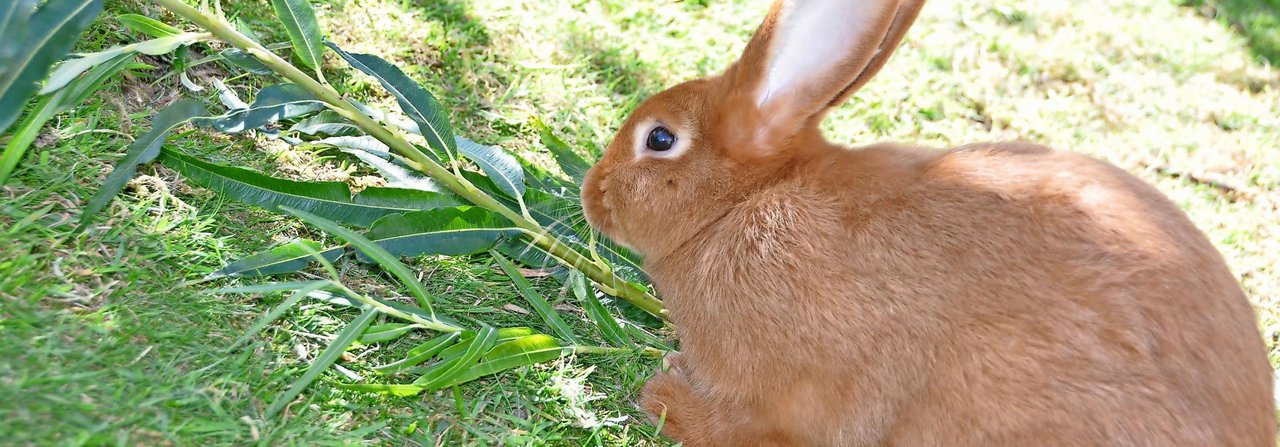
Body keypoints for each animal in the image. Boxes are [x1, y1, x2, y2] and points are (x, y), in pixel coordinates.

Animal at [583, 0, 1280, 443]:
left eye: (661, 139)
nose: (592, 195)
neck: (743, 204)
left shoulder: (793, 389)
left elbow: (747, 428)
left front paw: (665, 399)